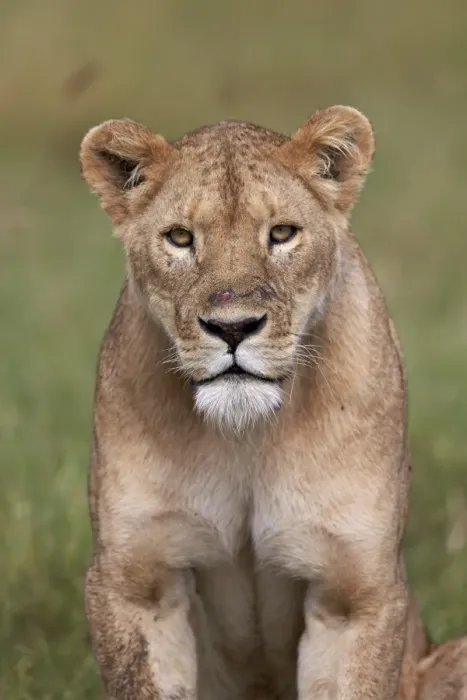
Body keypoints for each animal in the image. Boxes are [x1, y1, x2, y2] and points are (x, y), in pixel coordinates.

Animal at [80, 105, 467, 700]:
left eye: (282, 233)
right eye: (180, 238)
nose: (232, 327)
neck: (247, 435)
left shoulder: (355, 594)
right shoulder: (134, 583)